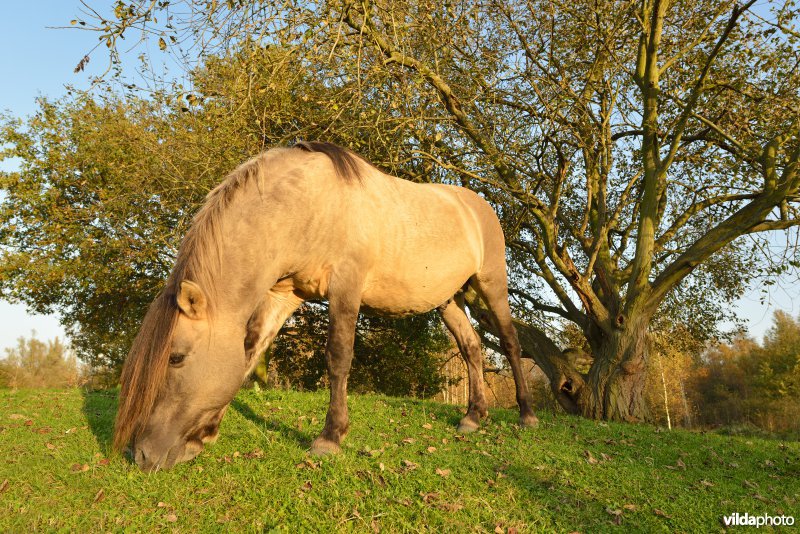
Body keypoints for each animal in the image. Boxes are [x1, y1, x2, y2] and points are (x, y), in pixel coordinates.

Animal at [112, 143, 536, 474]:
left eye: (176, 357)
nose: (142, 455)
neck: (305, 206)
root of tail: (477, 205)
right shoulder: (285, 295)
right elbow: (250, 351)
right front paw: (208, 430)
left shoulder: (345, 288)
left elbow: (338, 357)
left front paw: (330, 438)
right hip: (447, 300)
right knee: (472, 348)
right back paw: (473, 417)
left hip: (492, 286)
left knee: (511, 344)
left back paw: (526, 414)